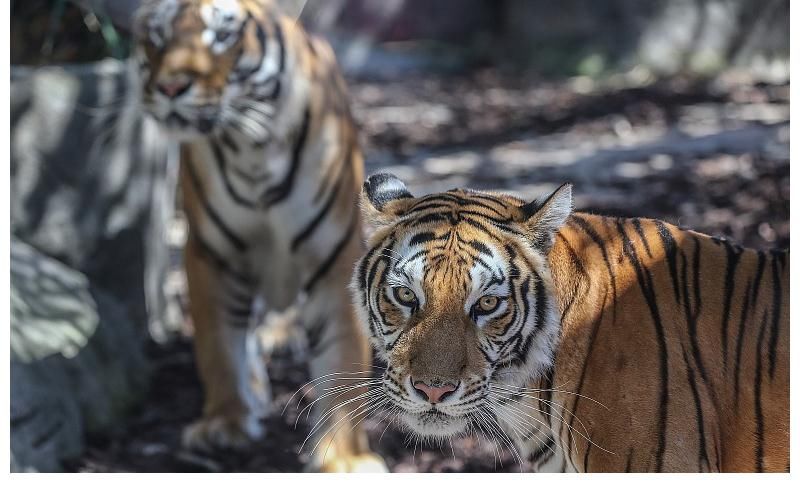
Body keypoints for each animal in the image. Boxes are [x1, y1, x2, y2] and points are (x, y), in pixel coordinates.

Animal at [130, 0, 384, 470]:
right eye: (157, 36)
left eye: (221, 35)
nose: (171, 86)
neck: (251, 150)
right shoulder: (212, 254)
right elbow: (220, 346)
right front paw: (225, 423)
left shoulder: (334, 255)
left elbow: (341, 355)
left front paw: (343, 458)